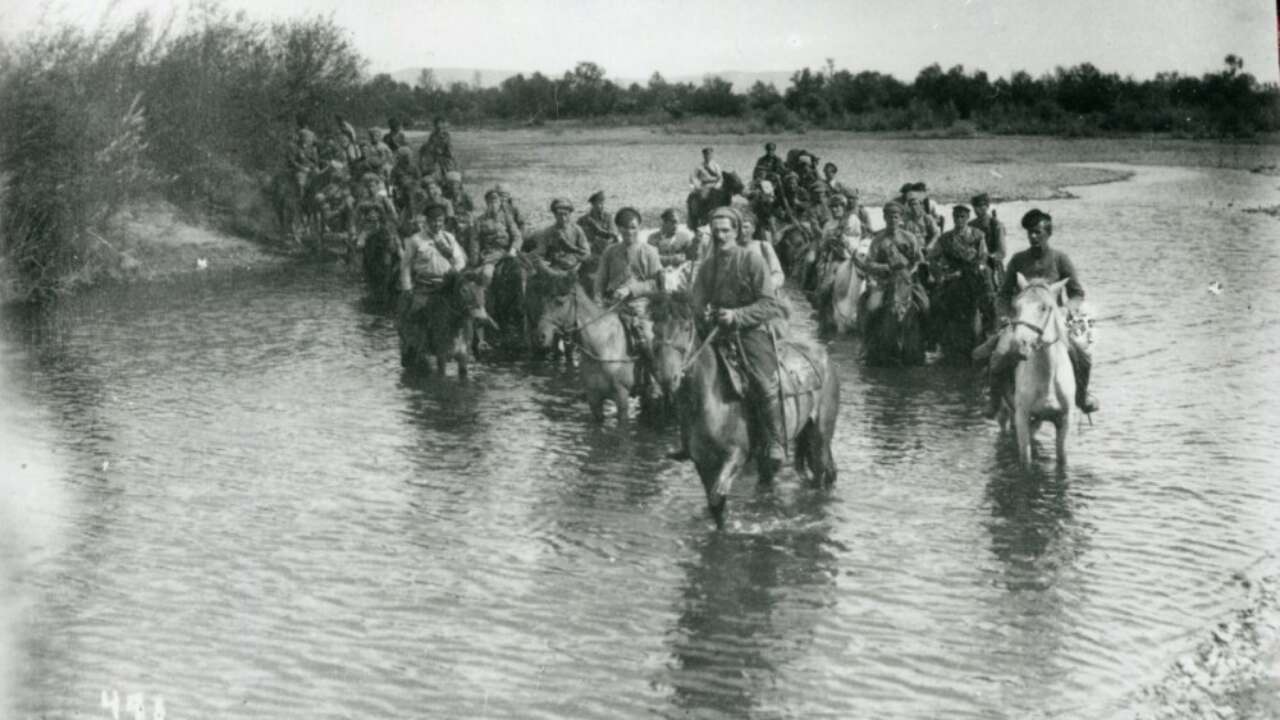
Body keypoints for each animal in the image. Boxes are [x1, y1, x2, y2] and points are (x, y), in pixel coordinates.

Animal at [650, 292, 839, 527]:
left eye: (686, 328)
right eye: (654, 329)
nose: (667, 378)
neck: (712, 401)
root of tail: (824, 356)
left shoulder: (735, 456)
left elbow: (717, 496)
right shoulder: (703, 464)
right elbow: (715, 506)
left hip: (819, 436)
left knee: (820, 475)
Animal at [993, 272, 1075, 466]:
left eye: (1044, 308)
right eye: (1016, 306)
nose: (1018, 344)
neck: (1048, 377)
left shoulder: (1065, 420)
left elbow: (1062, 458)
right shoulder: (1022, 418)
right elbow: (1026, 460)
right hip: (1005, 410)